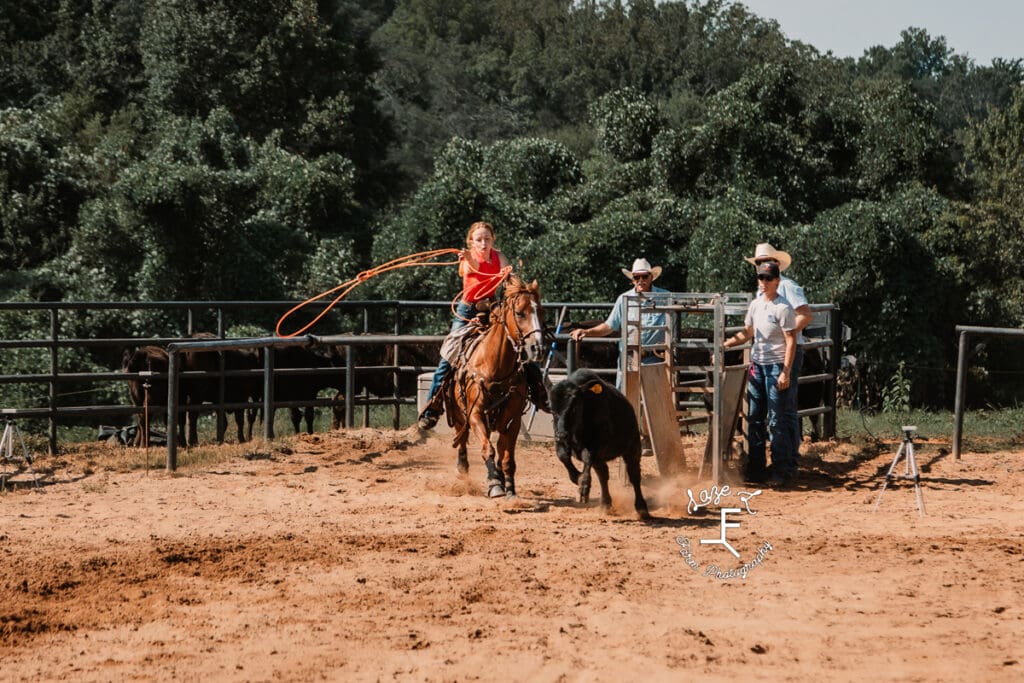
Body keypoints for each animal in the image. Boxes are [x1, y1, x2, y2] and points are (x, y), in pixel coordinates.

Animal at [444, 274, 548, 499]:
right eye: (519, 313)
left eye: (541, 312)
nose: (538, 348)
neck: (495, 366)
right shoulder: (475, 413)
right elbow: (487, 448)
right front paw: (494, 484)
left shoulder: (514, 419)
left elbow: (506, 455)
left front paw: (509, 486)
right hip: (457, 412)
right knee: (462, 437)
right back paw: (462, 468)